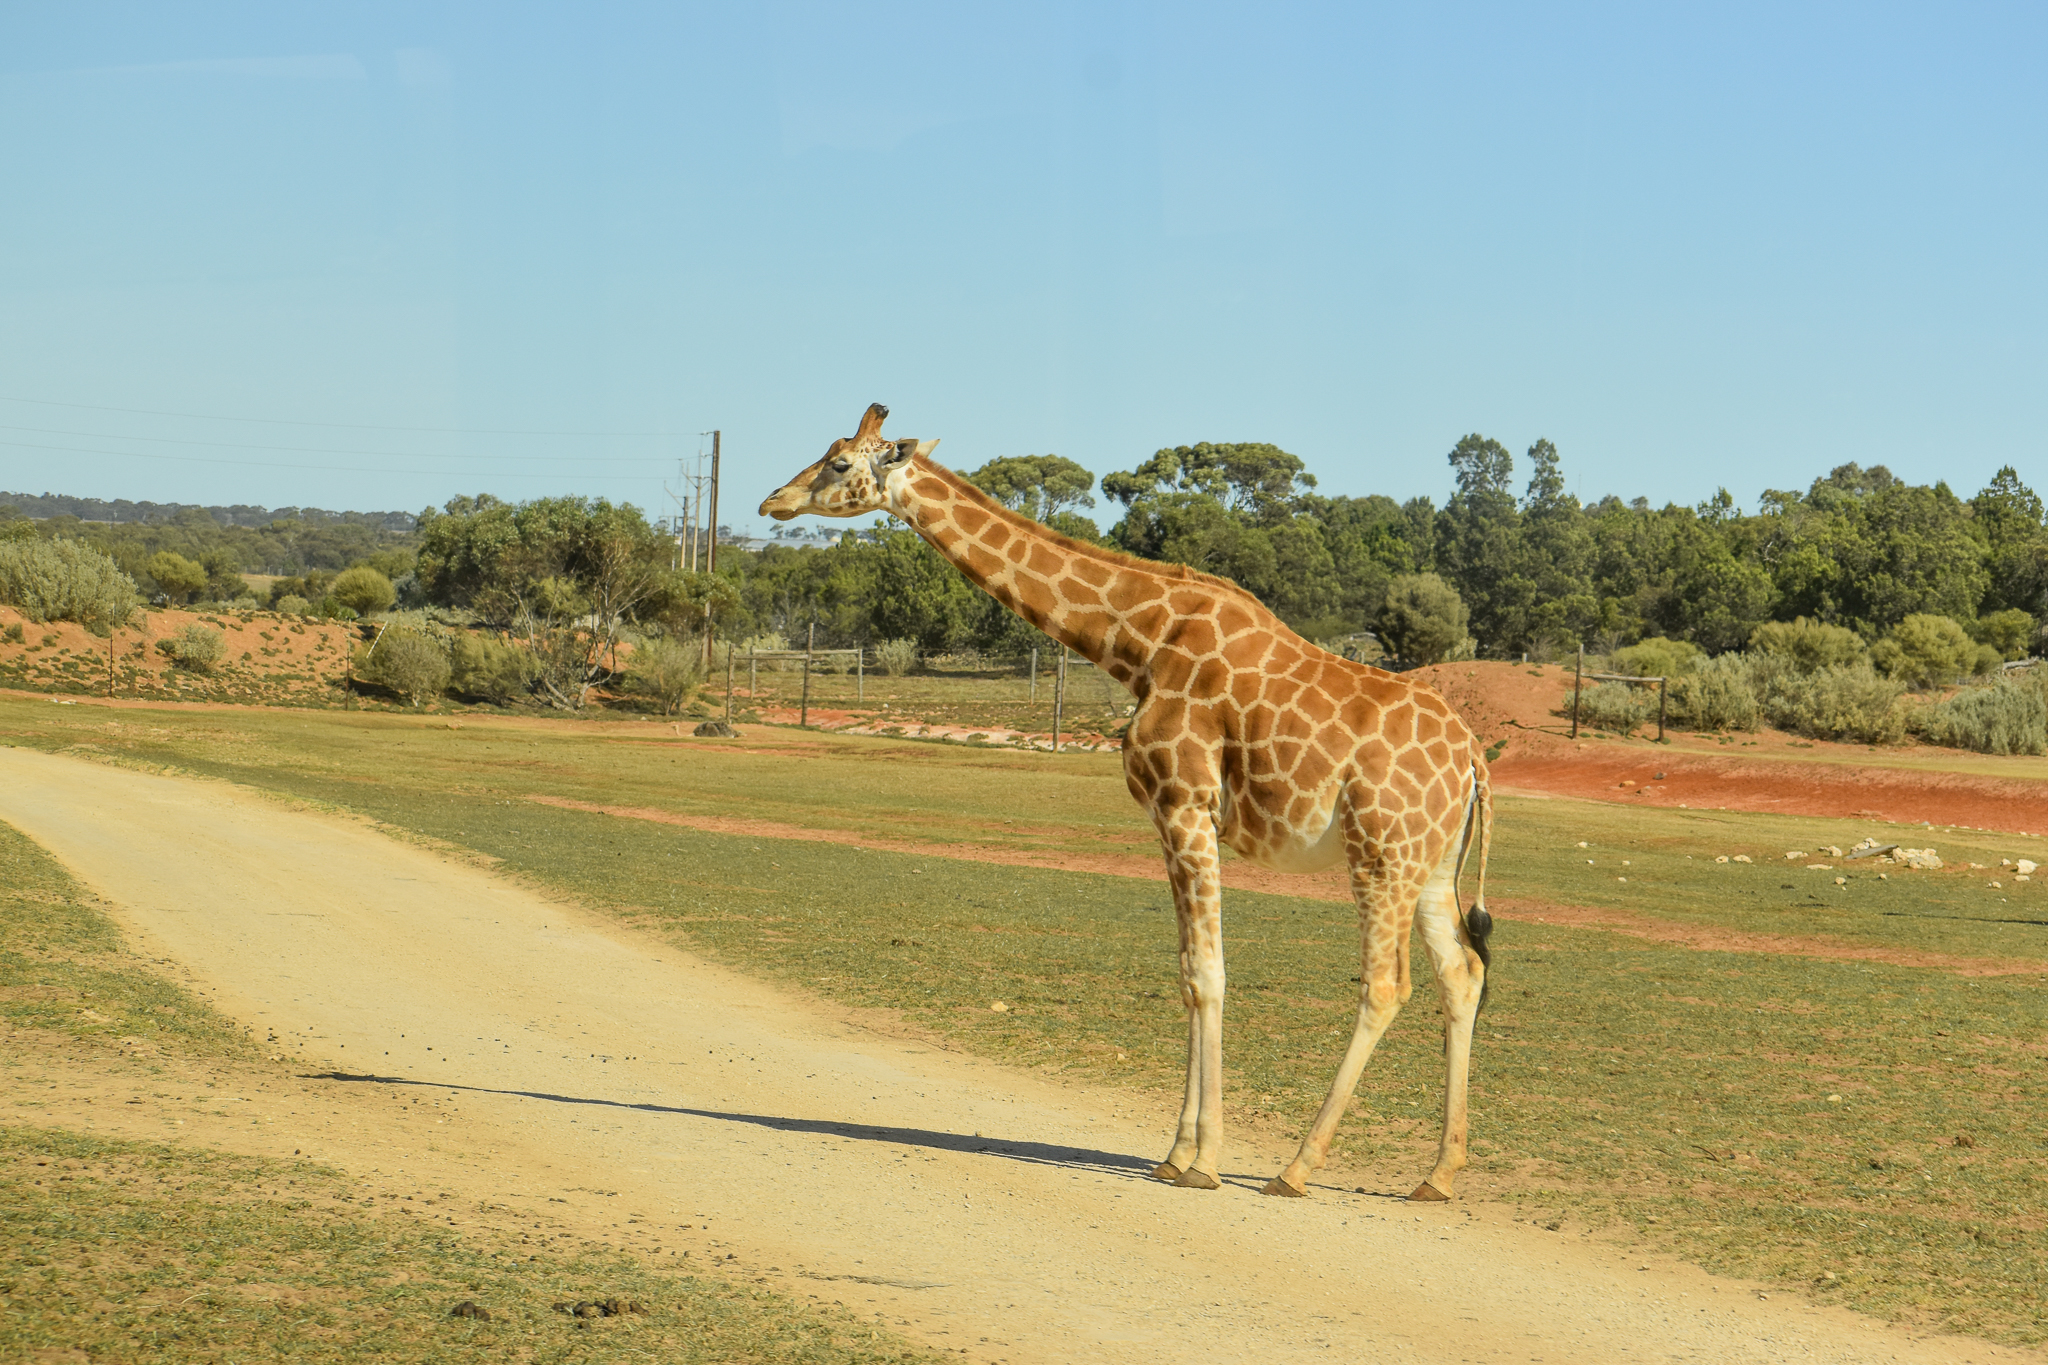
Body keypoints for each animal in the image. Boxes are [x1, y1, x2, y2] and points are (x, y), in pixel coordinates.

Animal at [760, 404, 1495, 1201]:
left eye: (839, 463)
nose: (772, 502)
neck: (1138, 643)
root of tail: (1474, 761)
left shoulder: (1185, 806)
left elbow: (1207, 974)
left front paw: (1202, 1160)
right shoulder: (1175, 820)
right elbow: (1187, 973)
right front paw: (1174, 1152)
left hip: (1381, 852)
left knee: (1387, 985)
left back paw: (1297, 1166)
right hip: (1427, 864)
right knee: (1462, 974)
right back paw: (1439, 1173)